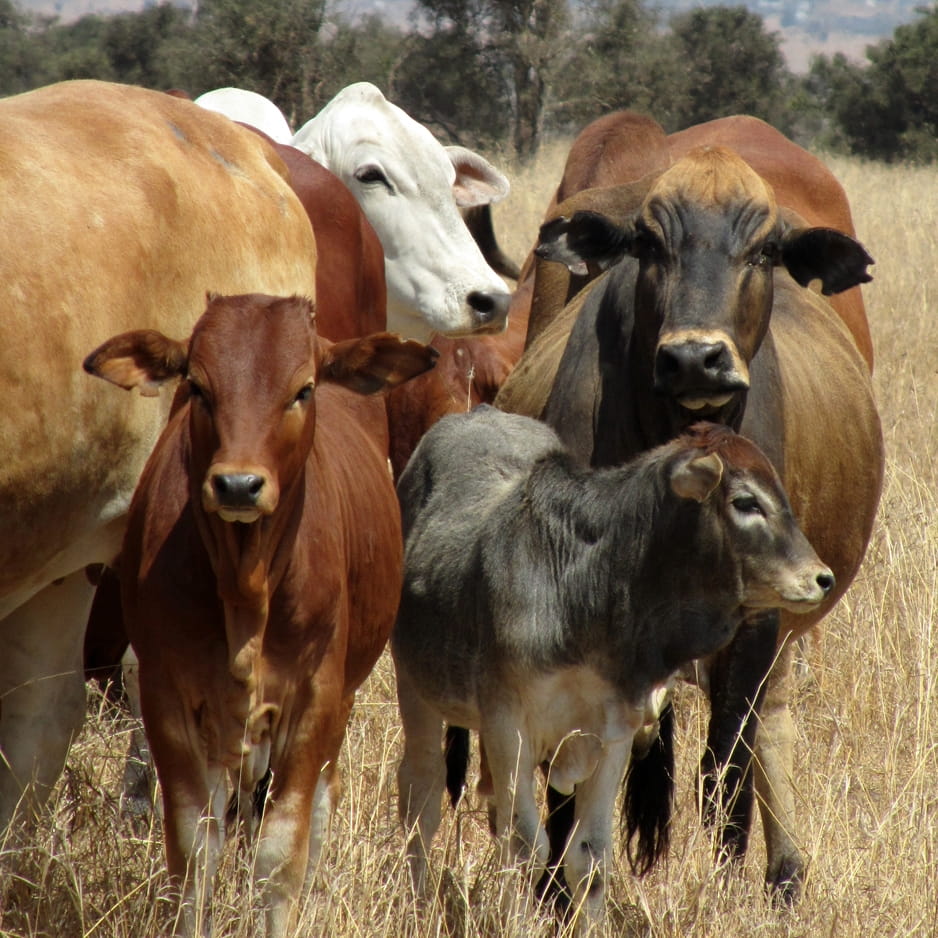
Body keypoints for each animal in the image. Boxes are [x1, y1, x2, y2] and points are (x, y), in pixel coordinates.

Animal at [83, 292, 437, 937]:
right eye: (197, 386)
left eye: (302, 389)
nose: (238, 485)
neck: (245, 588)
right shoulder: (167, 697)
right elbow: (195, 851)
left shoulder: (314, 700)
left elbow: (279, 857)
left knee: (315, 805)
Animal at [393, 407, 834, 932]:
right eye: (746, 502)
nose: (821, 578)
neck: (585, 586)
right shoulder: (507, 726)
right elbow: (525, 848)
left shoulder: (614, 734)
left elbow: (589, 856)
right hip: (414, 690)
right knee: (421, 795)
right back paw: (418, 906)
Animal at [491, 140, 884, 903]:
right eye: (648, 243)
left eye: (764, 250)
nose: (695, 358)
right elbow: (578, 765)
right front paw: (561, 889)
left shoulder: (760, 618)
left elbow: (724, 761)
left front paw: (723, 877)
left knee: (766, 727)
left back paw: (783, 871)